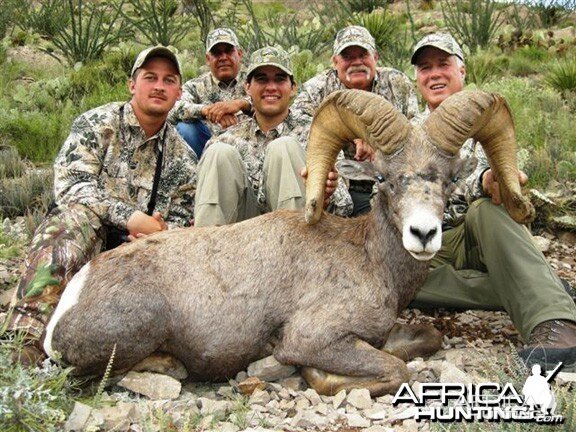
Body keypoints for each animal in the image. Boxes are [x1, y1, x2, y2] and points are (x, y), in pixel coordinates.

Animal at [45, 89, 536, 396]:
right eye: (384, 179)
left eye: (451, 180)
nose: (423, 234)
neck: (369, 260)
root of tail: (69, 304)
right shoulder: (314, 337)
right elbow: (394, 370)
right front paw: (302, 374)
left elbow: (423, 340)